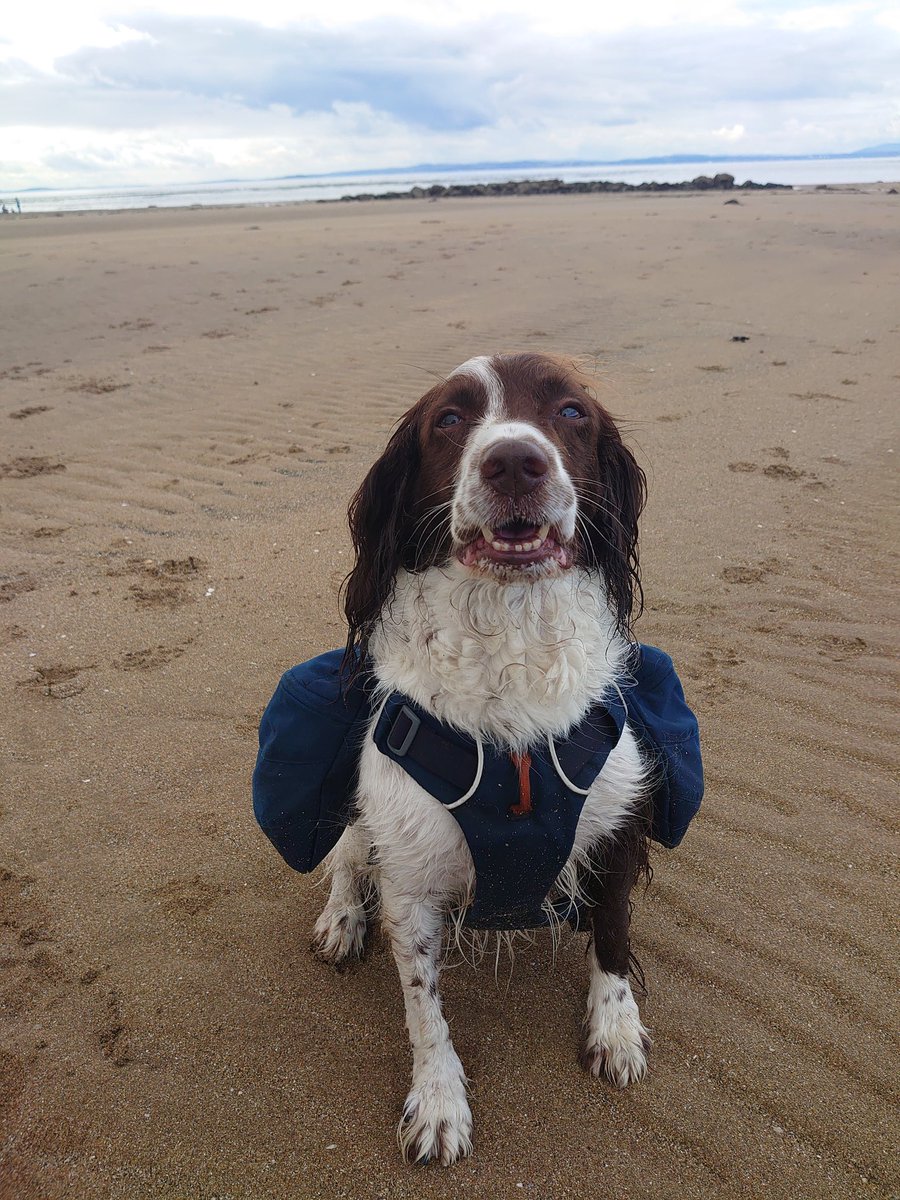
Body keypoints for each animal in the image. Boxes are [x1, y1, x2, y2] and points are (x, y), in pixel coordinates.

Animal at [314, 352, 652, 1161]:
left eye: (570, 412)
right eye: (449, 419)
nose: (515, 462)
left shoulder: (619, 822)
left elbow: (614, 934)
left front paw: (615, 1029)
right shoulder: (409, 870)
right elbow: (423, 1007)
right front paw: (439, 1102)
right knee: (345, 851)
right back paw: (340, 920)